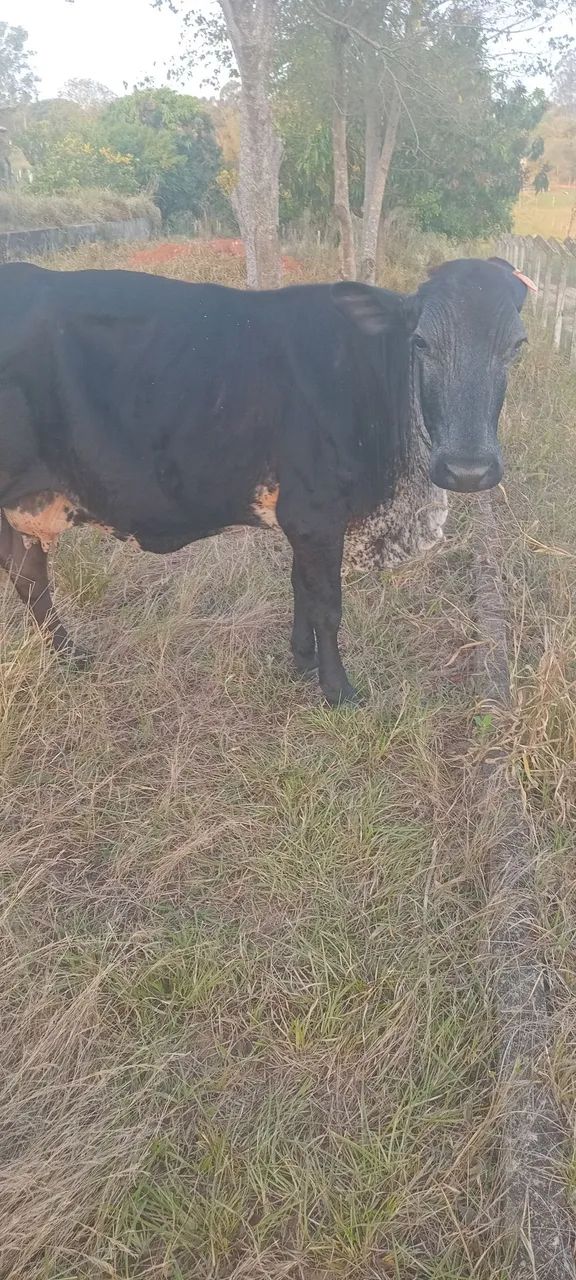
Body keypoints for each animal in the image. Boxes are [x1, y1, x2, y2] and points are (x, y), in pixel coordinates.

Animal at [0, 256, 531, 705]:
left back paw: (70, 655)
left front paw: (302, 660)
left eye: (516, 346)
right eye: (420, 342)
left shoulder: (305, 518)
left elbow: (301, 587)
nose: (468, 469)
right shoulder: (315, 513)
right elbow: (327, 604)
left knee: (28, 575)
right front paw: (338, 691)